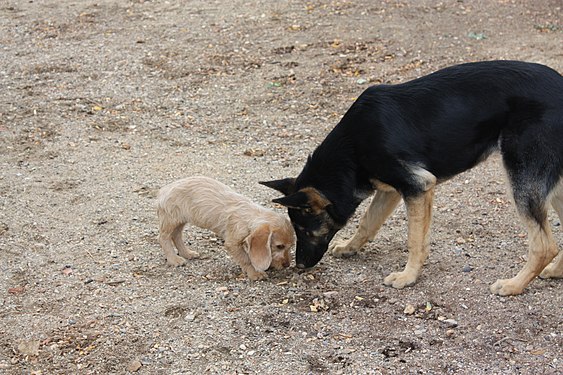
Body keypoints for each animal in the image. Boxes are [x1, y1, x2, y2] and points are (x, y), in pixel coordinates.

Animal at [156, 178, 298, 280]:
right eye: (279, 246)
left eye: (291, 246)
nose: (287, 265)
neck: (250, 215)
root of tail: (163, 190)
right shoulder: (232, 243)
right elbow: (245, 259)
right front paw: (254, 273)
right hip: (171, 220)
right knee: (163, 238)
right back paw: (174, 259)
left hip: (180, 221)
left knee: (176, 236)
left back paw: (187, 253)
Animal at [264, 61, 563, 296]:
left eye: (303, 230)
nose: (299, 265)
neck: (352, 147)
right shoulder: (390, 190)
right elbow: (367, 223)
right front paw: (350, 247)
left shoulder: (417, 186)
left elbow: (414, 240)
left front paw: (407, 277)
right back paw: (555, 271)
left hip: (522, 181)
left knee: (544, 245)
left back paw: (514, 285)